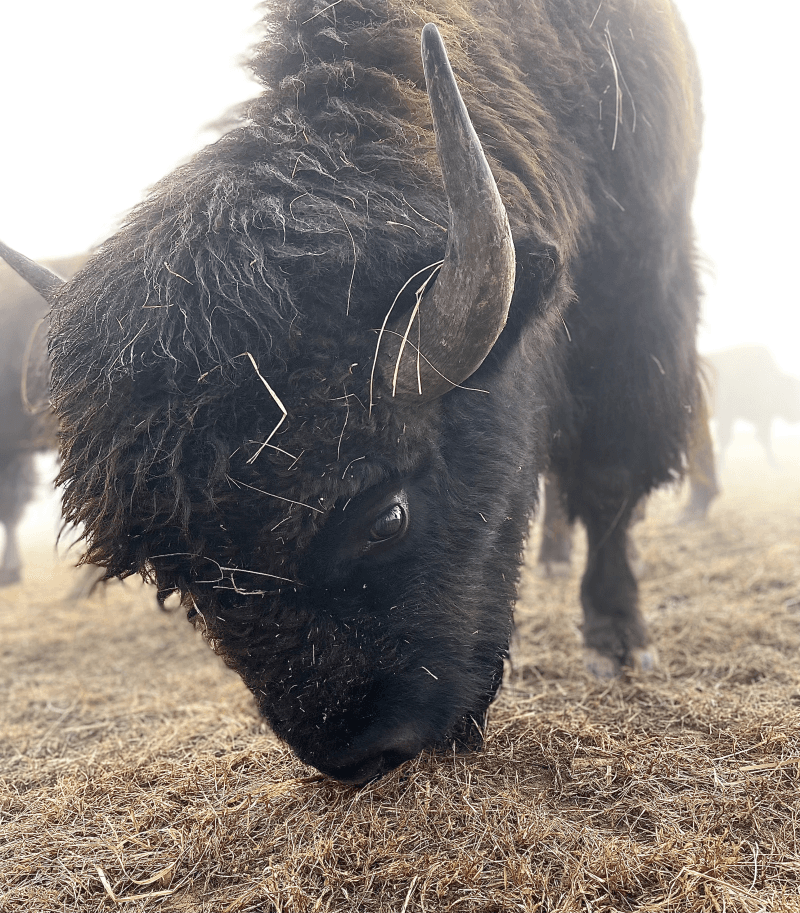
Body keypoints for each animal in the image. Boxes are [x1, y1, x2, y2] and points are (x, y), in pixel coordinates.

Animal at [2, 0, 702, 784]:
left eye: (386, 516)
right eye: (178, 579)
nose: (359, 753)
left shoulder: (641, 290)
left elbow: (610, 478)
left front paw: (616, 640)